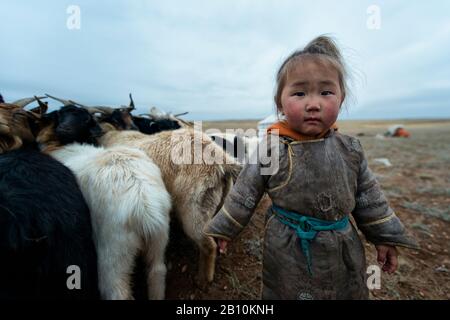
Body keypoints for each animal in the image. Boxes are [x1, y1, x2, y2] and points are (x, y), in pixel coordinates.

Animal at [34, 103, 172, 300]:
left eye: (85, 119)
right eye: (60, 114)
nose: (63, 128)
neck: (57, 146)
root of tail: (144, 203)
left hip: (113, 250)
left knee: (117, 290)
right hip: (159, 237)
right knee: (157, 272)